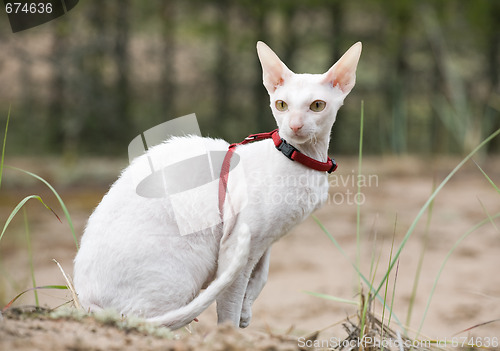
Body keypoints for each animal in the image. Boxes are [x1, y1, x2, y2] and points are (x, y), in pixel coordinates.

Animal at [72, 40, 362, 330]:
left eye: (317, 106)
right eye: (281, 105)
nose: (294, 126)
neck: (303, 159)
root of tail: (85, 299)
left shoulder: (265, 240)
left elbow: (261, 276)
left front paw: (246, 313)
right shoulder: (238, 242)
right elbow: (230, 303)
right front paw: (230, 333)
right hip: (186, 265)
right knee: (146, 321)